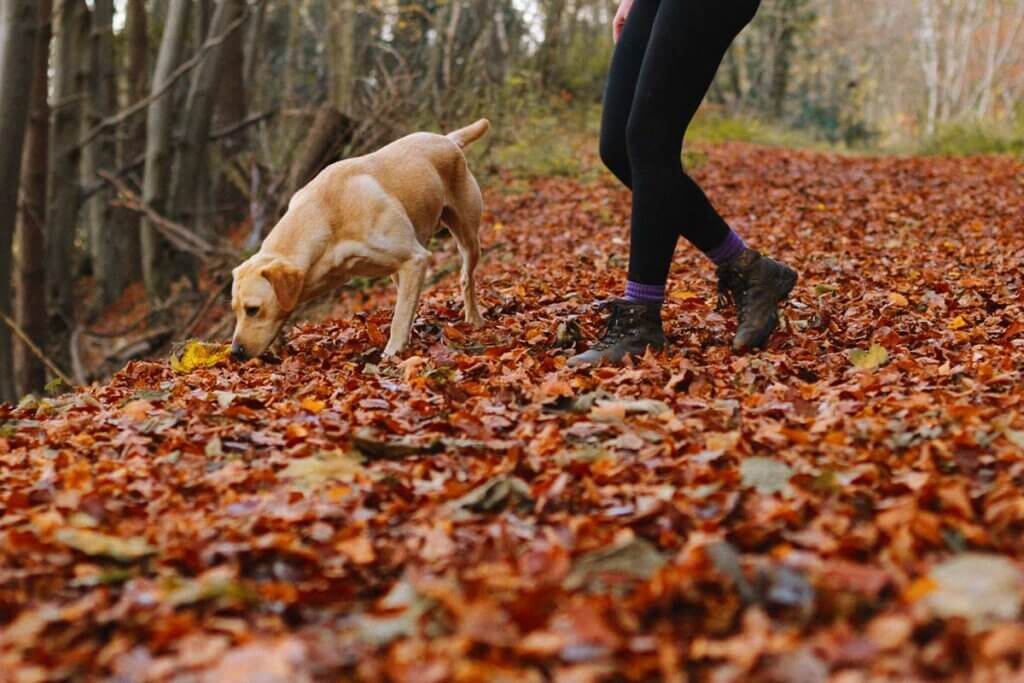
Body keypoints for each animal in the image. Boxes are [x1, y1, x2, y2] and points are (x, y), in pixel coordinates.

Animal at [232, 119, 487, 360]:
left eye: (252, 309)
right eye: (235, 310)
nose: (235, 352)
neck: (327, 216)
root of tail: (447, 139)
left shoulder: (415, 259)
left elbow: (399, 317)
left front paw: (393, 351)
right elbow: (404, 309)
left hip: (467, 239)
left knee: (466, 278)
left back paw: (473, 318)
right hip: (398, 270)